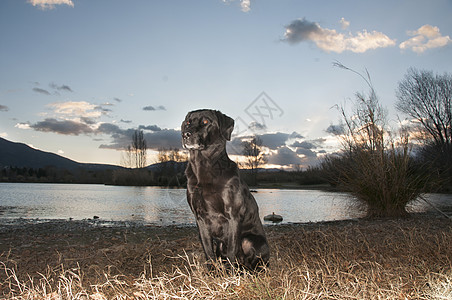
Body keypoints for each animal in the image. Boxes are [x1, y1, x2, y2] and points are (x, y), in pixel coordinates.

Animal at [182, 109, 270, 270]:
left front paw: (230, 274)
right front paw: (212, 272)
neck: (204, 166)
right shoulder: (200, 217)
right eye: (188, 122)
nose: (185, 134)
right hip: (220, 244)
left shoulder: (233, 215)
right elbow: (208, 251)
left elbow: (231, 251)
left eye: (205, 122)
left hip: (250, 240)